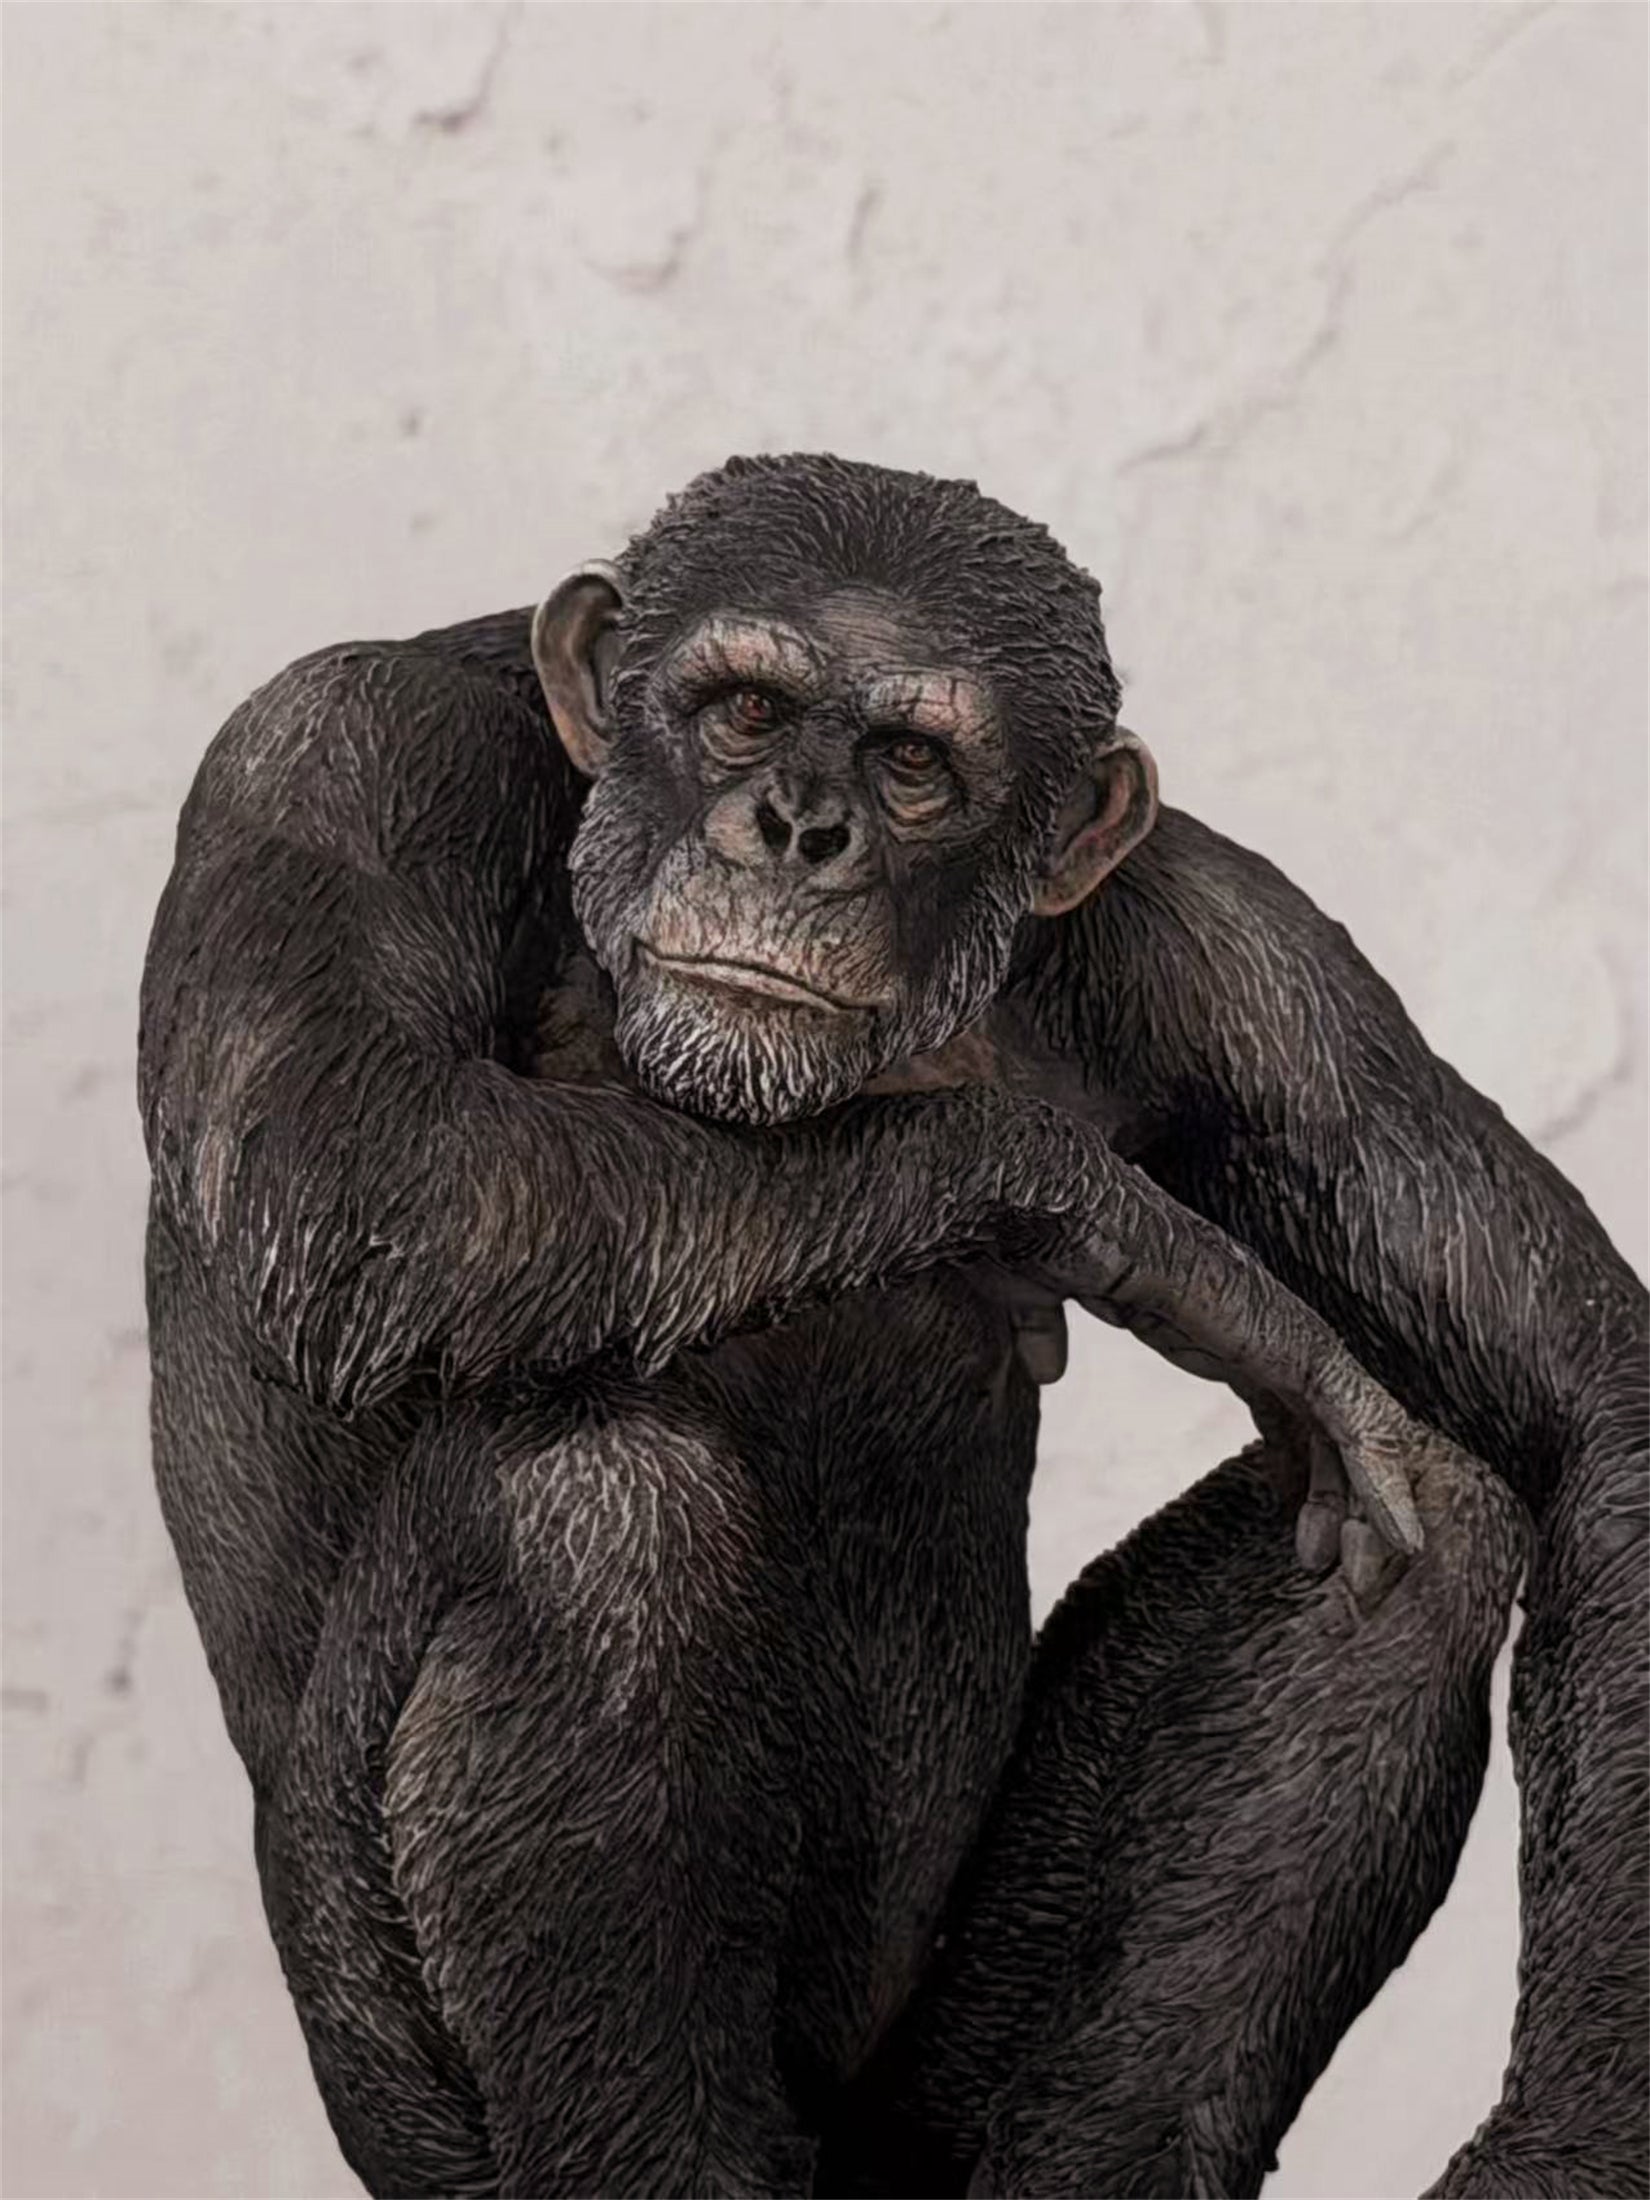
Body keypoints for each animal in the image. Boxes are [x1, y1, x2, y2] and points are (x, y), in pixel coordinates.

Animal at [139, 454, 1647, 2199]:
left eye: (914, 764)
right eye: (741, 709)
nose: (801, 832)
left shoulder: (1255, 975)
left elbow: (1589, 1393)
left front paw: (1566, 2150)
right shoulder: (332, 759)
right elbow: (366, 1166)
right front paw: (1091, 1213)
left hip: (923, 2109)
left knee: (1421, 1534)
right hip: (391, 2084)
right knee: (599, 1520)